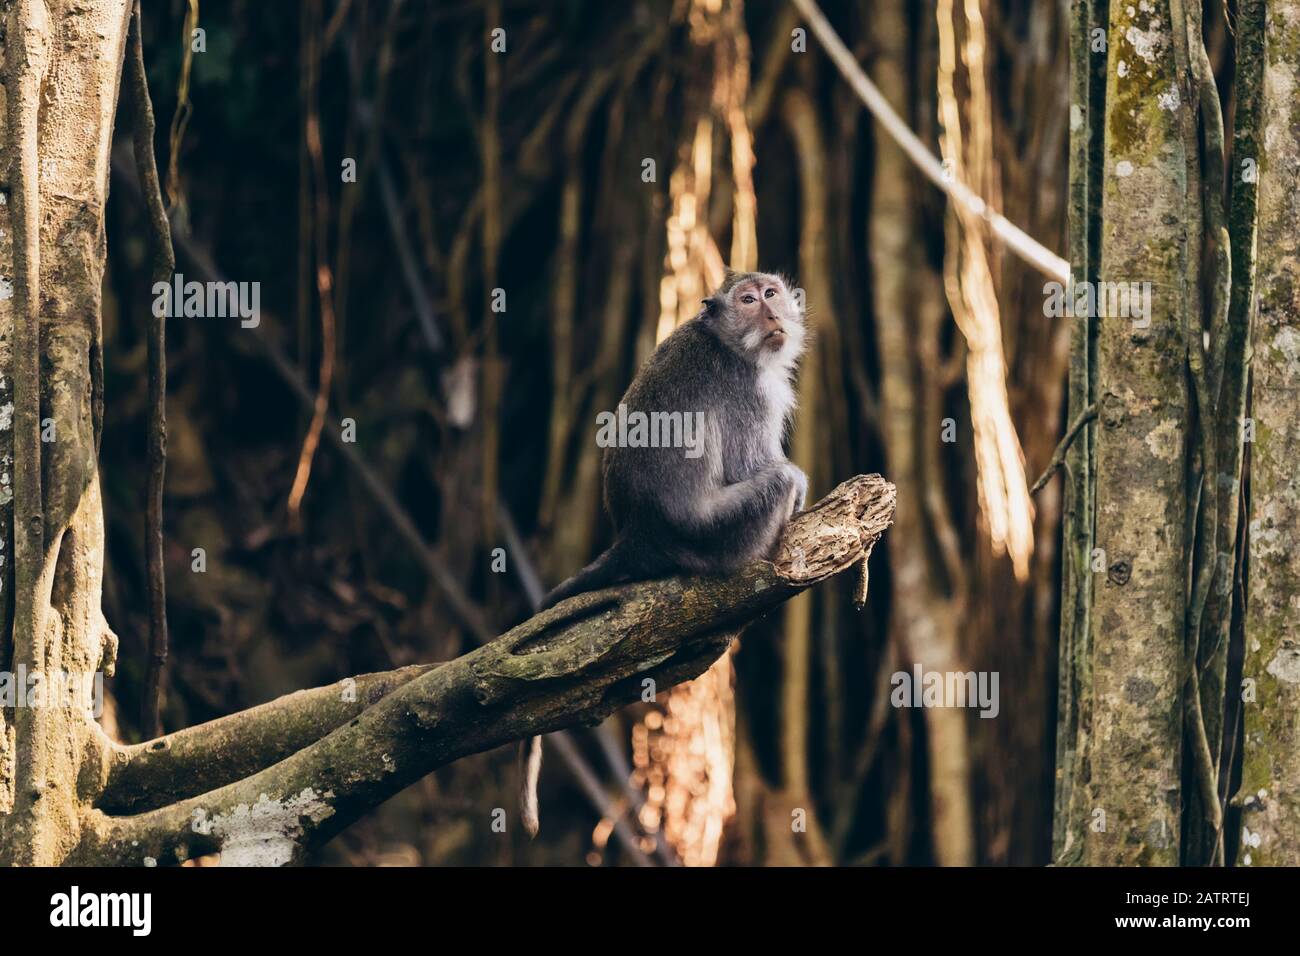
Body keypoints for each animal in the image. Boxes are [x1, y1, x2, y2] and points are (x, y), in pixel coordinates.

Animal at [519, 269, 809, 837]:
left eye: (771, 294)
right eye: (749, 300)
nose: (771, 314)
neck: (729, 344)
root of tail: (638, 534)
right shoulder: (750, 395)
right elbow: (757, 466)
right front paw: (803, 486)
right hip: (719, 535)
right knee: (773, 485)